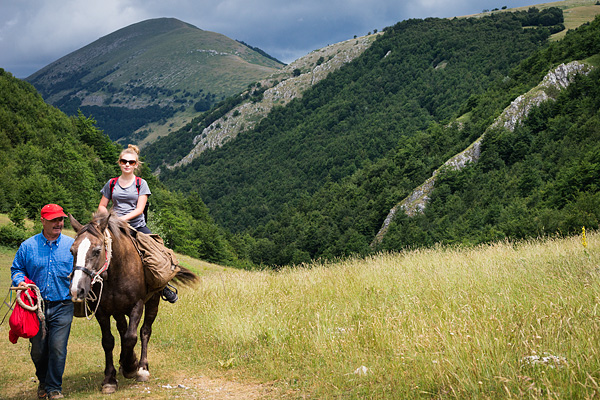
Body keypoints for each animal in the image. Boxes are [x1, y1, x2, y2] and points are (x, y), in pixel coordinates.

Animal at [67, 209, 199, 394]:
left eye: (97, 250)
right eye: (72, 251)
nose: (76, 290)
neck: (115, 271)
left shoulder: (137, 305)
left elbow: (132, 336)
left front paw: (132, 366)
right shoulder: (102, 311)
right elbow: (108, 341)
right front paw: (110, 379)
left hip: (152, 303)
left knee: (144, 331)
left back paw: (141, 367)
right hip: (118, 309)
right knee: (123, 329)